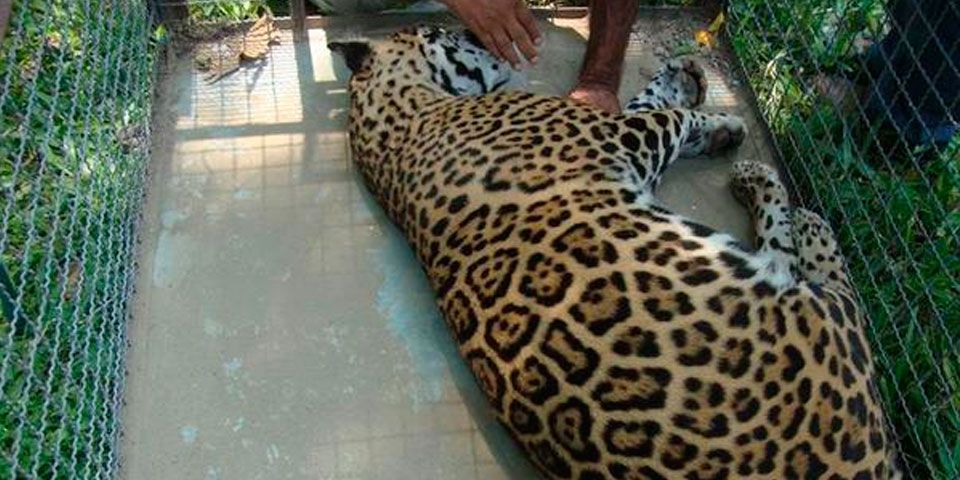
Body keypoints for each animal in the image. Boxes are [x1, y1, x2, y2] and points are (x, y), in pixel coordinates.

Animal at [328, 25, 901, 480]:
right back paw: (792, 206)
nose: (474, 31)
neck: (394, 122)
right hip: (822, 320)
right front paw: (714, 117)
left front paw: (687, 83)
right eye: (444, 32)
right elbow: (670, 115)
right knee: (831, 283)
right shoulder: (623, 136)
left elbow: (650, 101)